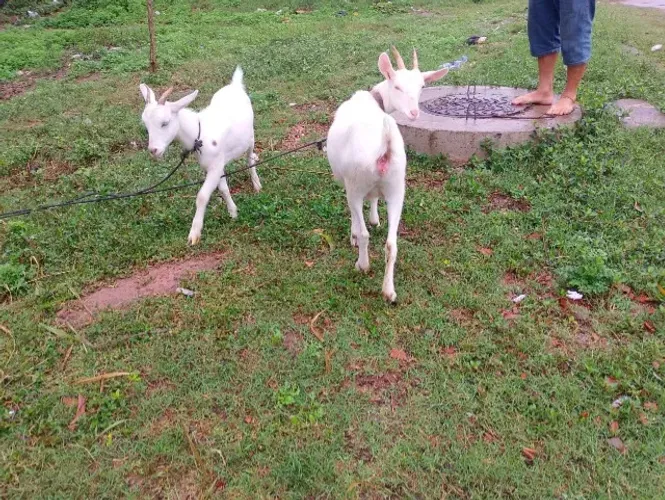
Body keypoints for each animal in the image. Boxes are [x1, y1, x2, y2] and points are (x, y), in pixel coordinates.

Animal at [139, 67, 261, 245]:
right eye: (146, 125)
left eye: (165, 123)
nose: (154, 150)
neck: (199, 133)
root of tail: (235, 85)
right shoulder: (216, 166)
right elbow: (223, 189)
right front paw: (233, 212)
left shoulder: (215, 167)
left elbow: (202, 196)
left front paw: (194, 234)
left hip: (250, 136)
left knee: (250, 157)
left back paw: (257, 184)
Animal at [326, 47, 448, 302]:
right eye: (398, 86)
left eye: (422, 87)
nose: (414, 113)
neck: (374, 100)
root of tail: (384, 148)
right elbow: (373, 199)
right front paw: (375, 218)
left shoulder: (348, 183)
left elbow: (355, 215)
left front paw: (354, 234)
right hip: (396, 187)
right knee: (392, 244)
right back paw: (389, 291)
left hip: (357, 182)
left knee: (364, 232)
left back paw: (362, 264)